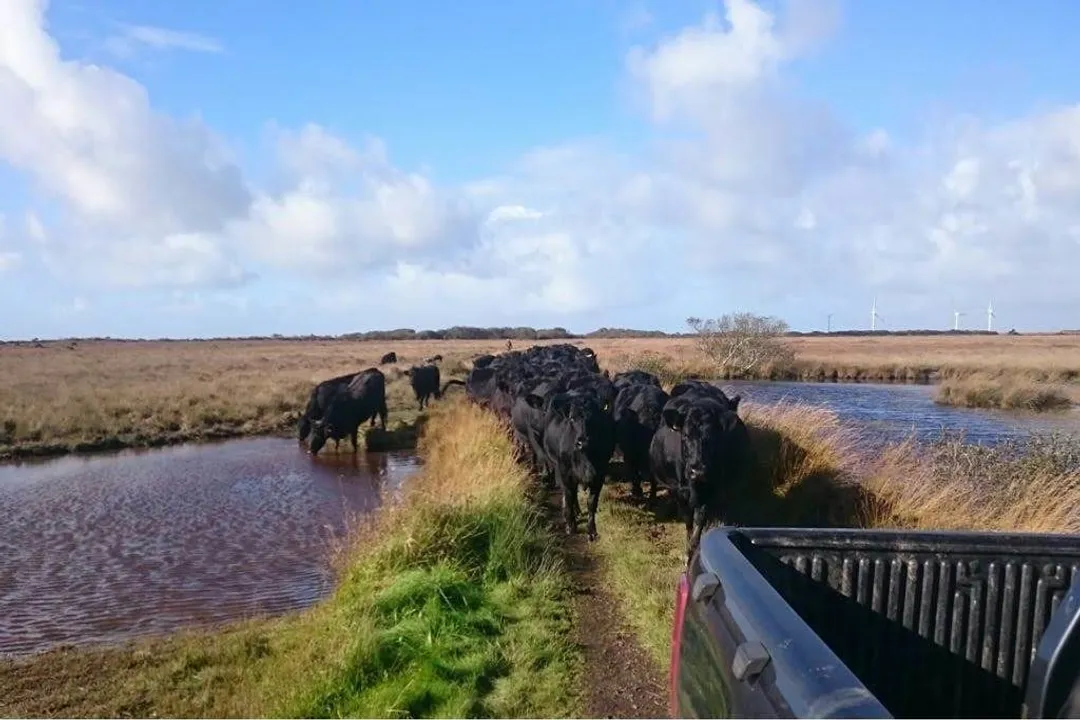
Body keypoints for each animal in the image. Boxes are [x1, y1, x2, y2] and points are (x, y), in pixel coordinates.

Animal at [648, 393, 750, 564]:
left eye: (714, 438)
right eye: (685, 435)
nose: (698, 471)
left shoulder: (711, 490)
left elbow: (700, 520)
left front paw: (693, 548)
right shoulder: (679, 491)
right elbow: (688, 520)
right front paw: (687, 553)